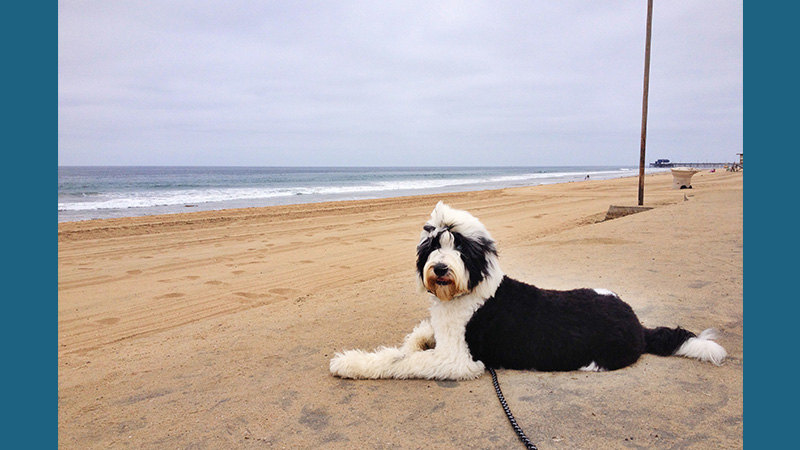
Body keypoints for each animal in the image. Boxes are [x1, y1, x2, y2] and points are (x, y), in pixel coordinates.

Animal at [328, 201, 728, 380]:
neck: (471, 292)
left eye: (461, 248)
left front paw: (349, 363)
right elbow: (415, 339)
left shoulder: (458, 359)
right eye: (434, 245)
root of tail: (638, 325)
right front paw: (412, 341)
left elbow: (400, 361)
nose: (440, 269)